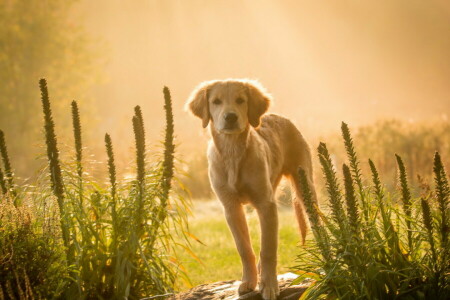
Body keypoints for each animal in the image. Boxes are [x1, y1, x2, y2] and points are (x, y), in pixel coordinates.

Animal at [185, 79, 316, 300]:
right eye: (216, 101)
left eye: (240, 100)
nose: (230, 117)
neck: (233, 153)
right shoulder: (231, 208)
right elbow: (244, 248)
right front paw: (249, 281)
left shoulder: (266, 204)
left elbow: (268, 248)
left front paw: (269, 285)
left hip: (305, 188)